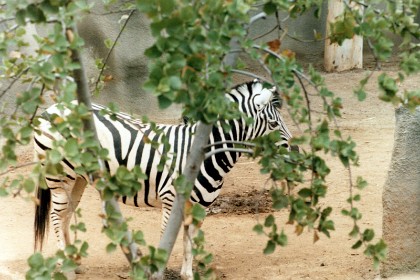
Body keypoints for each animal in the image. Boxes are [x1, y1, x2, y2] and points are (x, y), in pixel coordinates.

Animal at [33, 78, 296, 278]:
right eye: (274, 123)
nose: (294, 154)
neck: (202, 154)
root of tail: (52, 108)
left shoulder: (200, 207)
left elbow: (189, 243)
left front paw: (188, 274)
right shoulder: (171, 200)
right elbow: (166, 239)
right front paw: (159, 270)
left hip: (79, 178)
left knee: (67, 214)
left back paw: (73, 262)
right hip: (59, 175)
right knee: (56, 215)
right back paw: (64, 266)